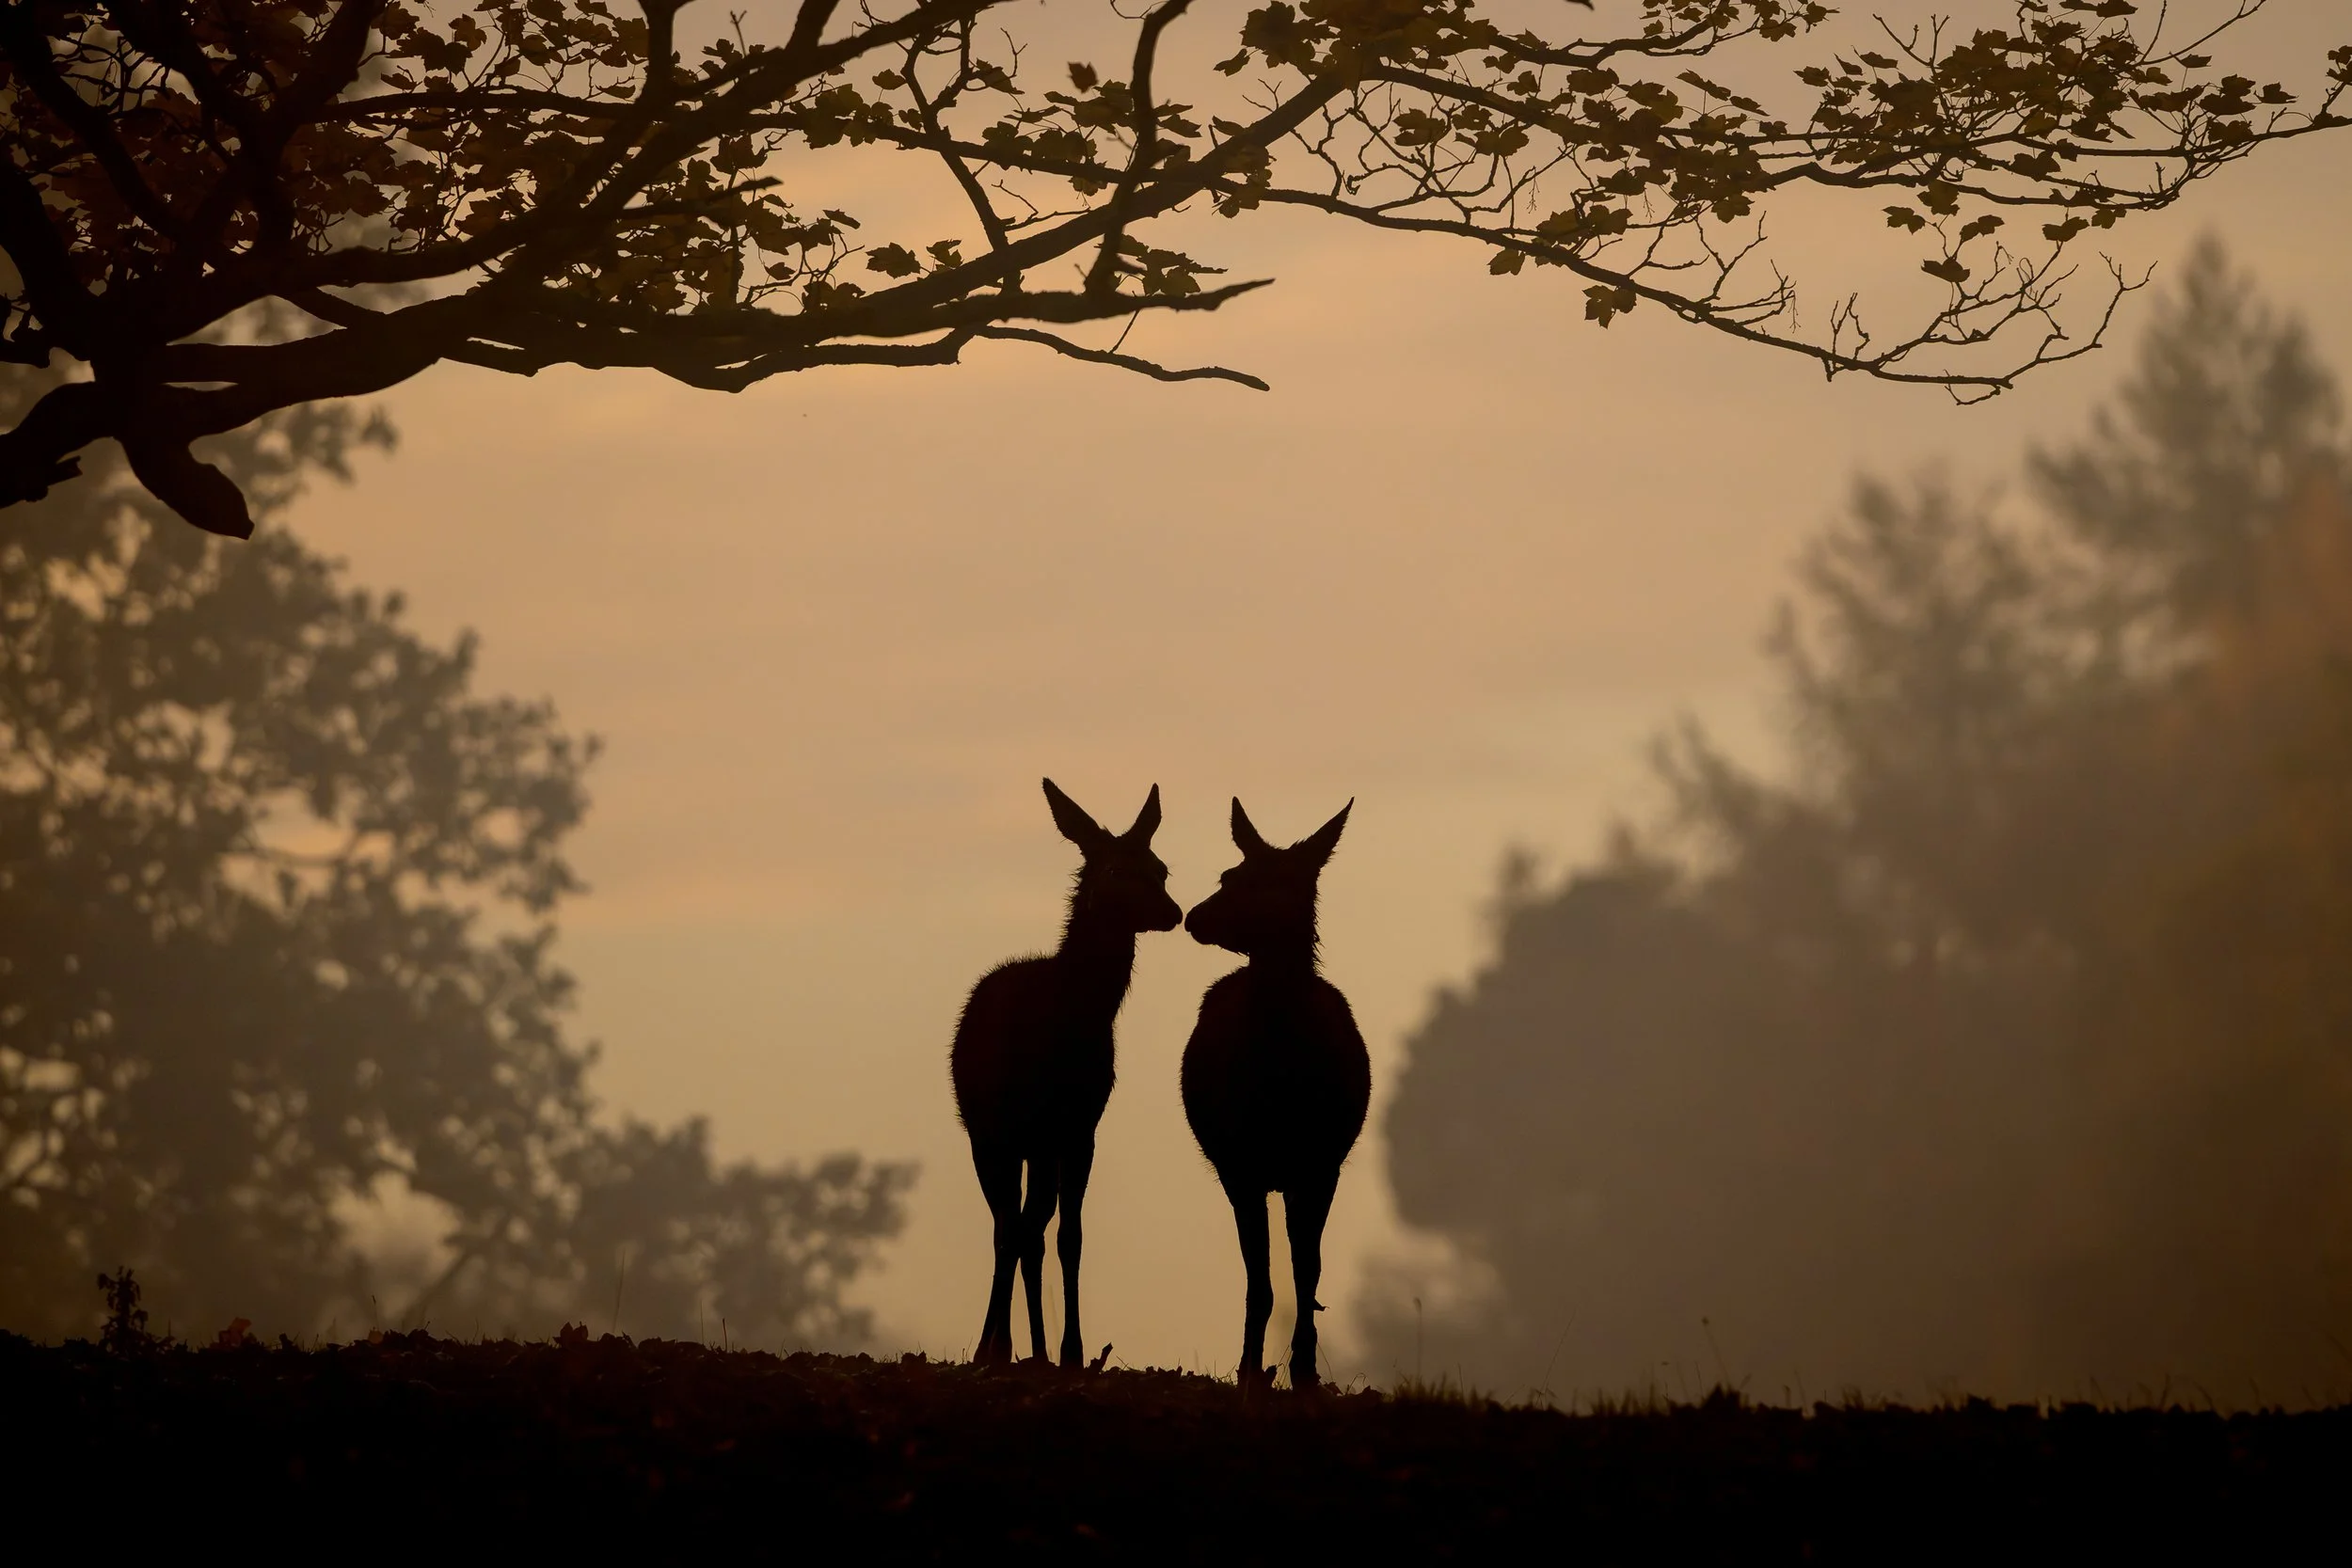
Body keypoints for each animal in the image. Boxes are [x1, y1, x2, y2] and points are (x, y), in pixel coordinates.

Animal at [950, 778, 1181, 1368]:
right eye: (1115, 869)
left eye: (1161, 867)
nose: (1173, 911)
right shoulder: (1010, 1131)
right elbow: (1015, 1232)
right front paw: (993, 1348)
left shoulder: (1081, 1127)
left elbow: (1069, 1237)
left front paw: (1072, 1352)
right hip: (987, 1135)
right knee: (1008, 1227)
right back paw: (998, 1346)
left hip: (1040, 1146)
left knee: (1032, 1227)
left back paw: (1034, 1348)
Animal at [1180, 797, 1369, 1391]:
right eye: (1231, 874)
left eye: (1275, 882)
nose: (1194, 916)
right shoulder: (1240, 1165)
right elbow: (1259, 1278)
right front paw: (1249, 1369)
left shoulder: (1322, 1163)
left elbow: (1309, 1272)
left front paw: (1306, 1371)